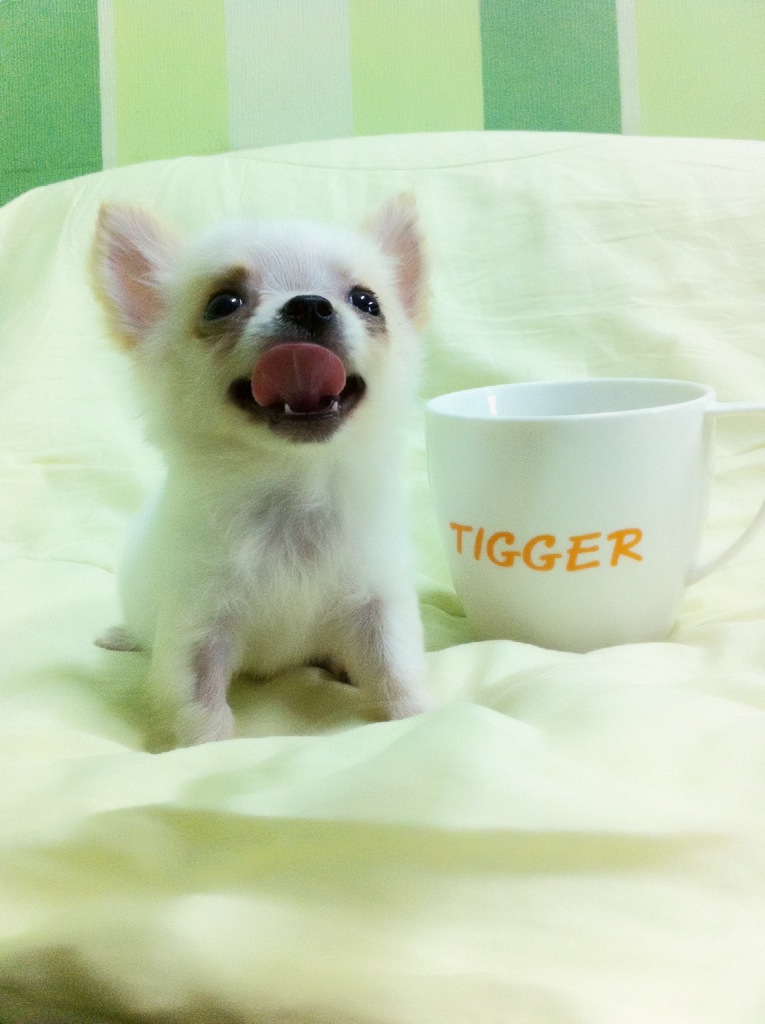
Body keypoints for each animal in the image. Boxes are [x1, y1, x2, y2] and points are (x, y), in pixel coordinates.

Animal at [93, 195, 432, 747]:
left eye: (367, 301)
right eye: (222, 303)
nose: (309, 303)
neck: (293, 489)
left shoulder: (377, 604)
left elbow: (397, 671)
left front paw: (417, 718)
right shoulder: (197, 622)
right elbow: (196, 701)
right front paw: (200, 746)